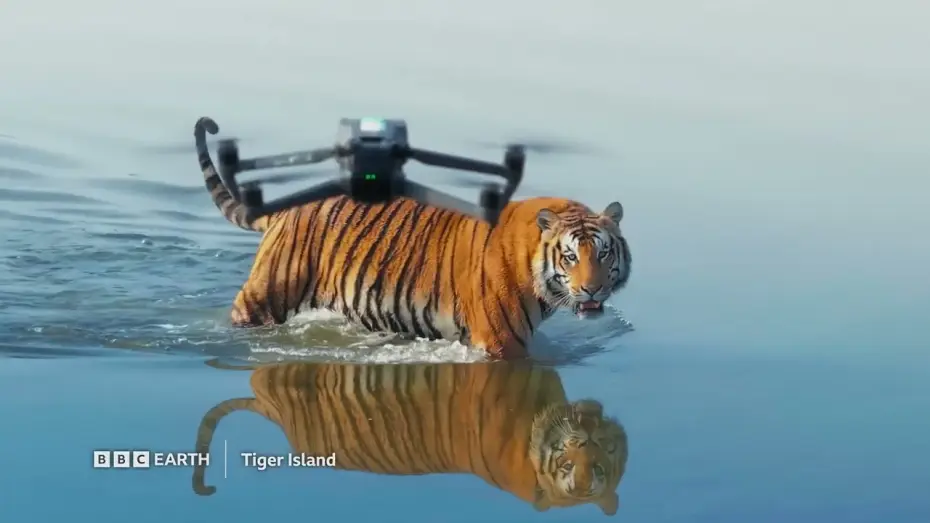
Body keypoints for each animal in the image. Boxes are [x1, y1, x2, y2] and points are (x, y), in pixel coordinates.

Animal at [196, 117, 632, 359]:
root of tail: (286, 208)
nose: (592, 290)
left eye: (604, 254)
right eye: (570, 257)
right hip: (267, 292)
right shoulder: (501, 342)